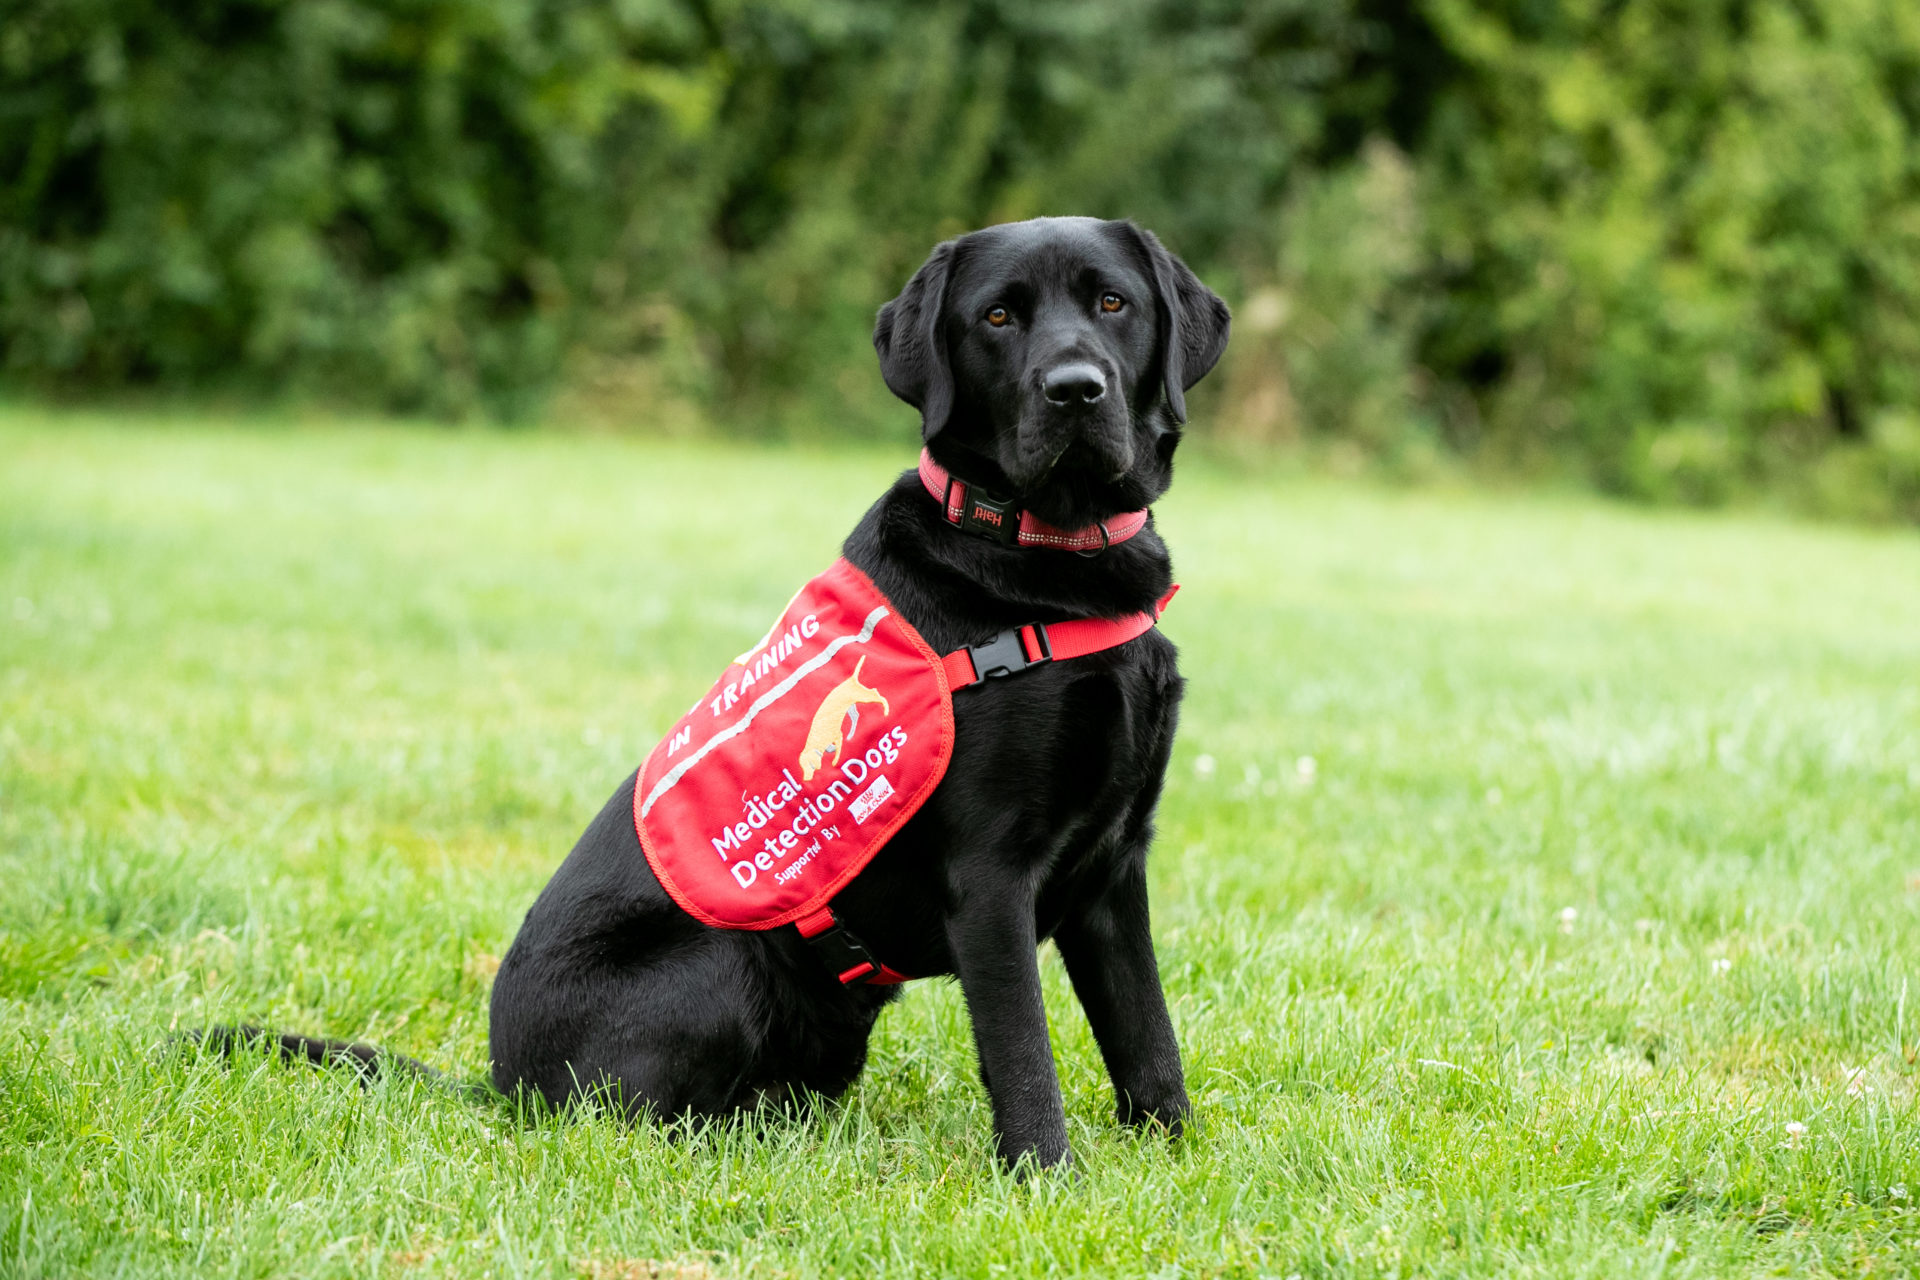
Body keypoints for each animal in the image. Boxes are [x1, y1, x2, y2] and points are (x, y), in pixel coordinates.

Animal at [214, 217, 1228, 1174]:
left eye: (1113, 304)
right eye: (998, 317)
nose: (1074, 389)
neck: (1047, 562)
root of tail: (501, 1084)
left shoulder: (1115, 867)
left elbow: (1147, 1035)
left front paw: (1177, 1160)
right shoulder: (989, 877)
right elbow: (1024, 1052)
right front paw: (1043, 1176)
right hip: (724, 957)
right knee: (635, 1119)